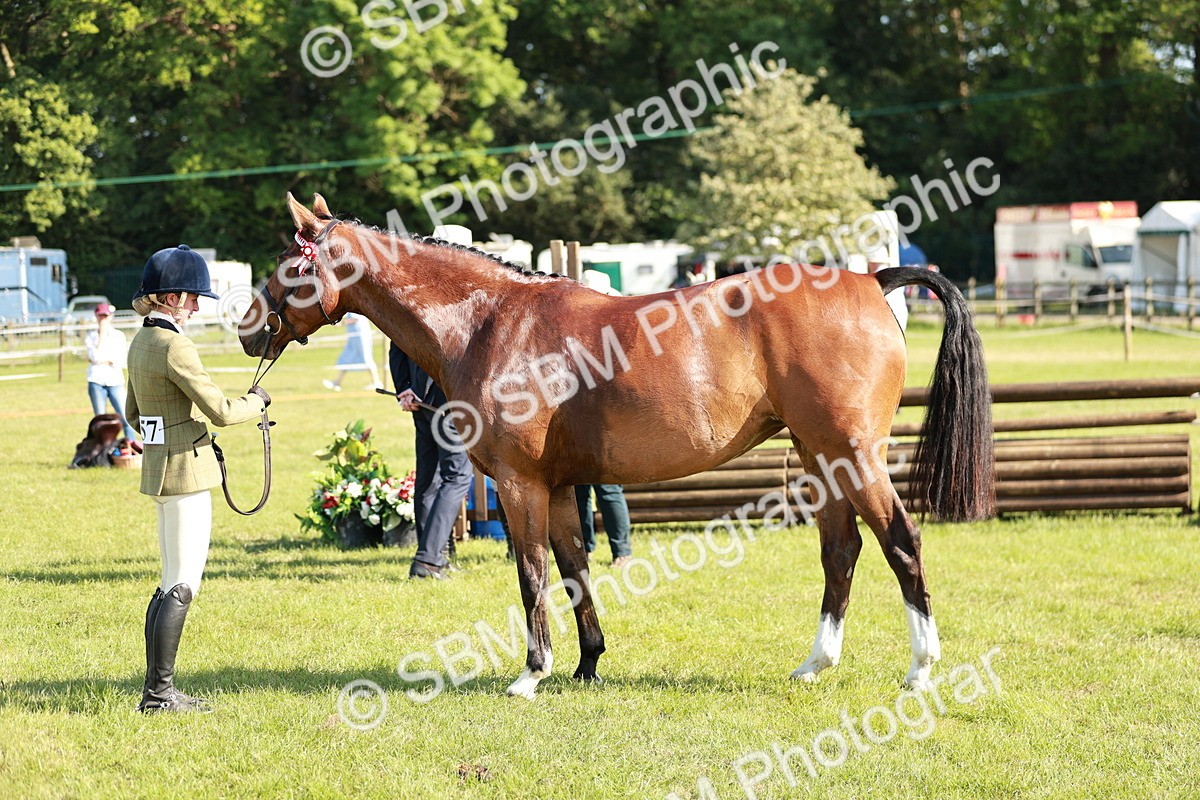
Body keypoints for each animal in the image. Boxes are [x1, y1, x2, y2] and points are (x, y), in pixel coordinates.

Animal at [239, 193, 994, 698]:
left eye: (289, 264)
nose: (247, 328)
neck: (491, 322)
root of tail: (872, 278)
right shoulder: (560, 487)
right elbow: (576, 571)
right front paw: (586, 665)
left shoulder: (519, 485)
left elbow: (533, 575)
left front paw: (531, 674)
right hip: (822, 459)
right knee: (842, 551)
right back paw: (815, 664)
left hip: (853, 455)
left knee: (901, 543)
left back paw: (920, 669)